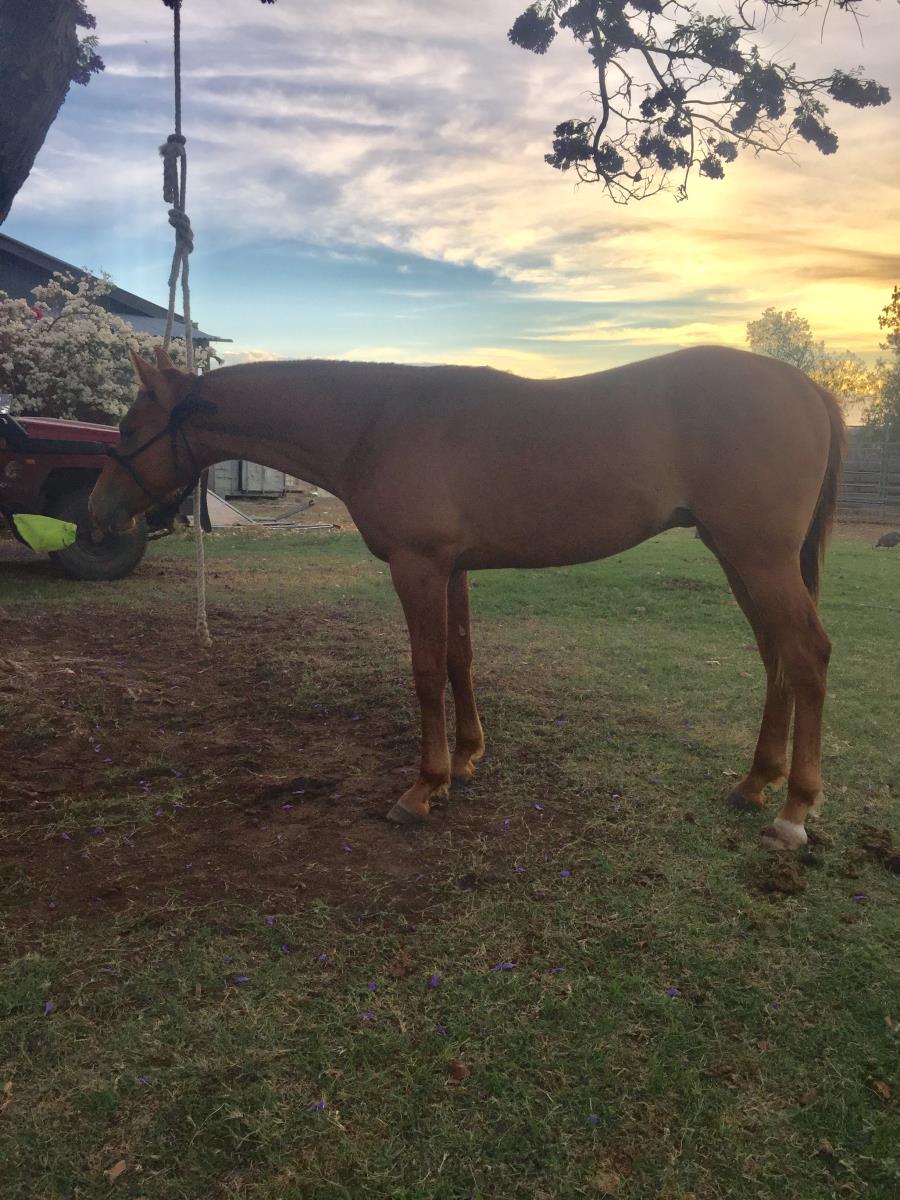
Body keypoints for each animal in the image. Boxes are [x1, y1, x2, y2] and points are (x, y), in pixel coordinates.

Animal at [89, 345, 845, 850]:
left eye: (126, 431)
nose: (98, 512)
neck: (375, 423)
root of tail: (806, 387)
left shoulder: (418, 568)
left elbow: (426, 672)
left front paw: (424, 787)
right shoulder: (452, 569)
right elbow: (460, 661)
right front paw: (467, 759)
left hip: (759, 558)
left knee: (806, 655)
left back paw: (794, 812)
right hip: (737, 556)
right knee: (776, 658)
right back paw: (755, 783)